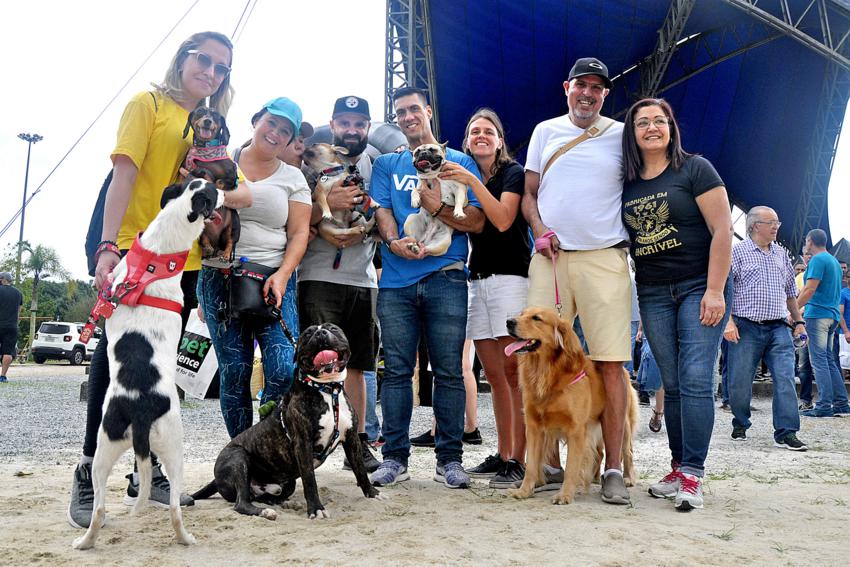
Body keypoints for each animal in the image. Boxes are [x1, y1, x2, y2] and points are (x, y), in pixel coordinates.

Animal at [72, 179, 222, 552]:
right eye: (214, 190)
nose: (229, 190)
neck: (155, 256)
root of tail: (139, 410)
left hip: (104, 451)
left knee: (98, 509)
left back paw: (85, 542)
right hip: (175, 448)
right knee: (175, 511)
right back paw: (186, 539)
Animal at [192, 324, 380, 520]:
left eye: (333, 329)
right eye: (307, 334)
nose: (320, 332)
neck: (328, 389)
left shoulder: (351, 439)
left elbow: (360, 470)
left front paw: (372, 494)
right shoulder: (303, 444)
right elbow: (310, 481)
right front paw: (316, 509)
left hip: (285, 482)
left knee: (265, 496)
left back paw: (282, 503)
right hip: (238, 458)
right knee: (241, 503)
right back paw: (264, 511)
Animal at [504, 306, 636, 506]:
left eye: (536, 318)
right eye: (521, 314)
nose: (509, 322)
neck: (547, 372)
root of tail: (626, 372)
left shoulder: (577, 430)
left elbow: (572, 466)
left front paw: (565, 495)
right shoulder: (534, 427)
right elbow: (532, 465)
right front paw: (524, 491)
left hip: (623, 424)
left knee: (626, 452)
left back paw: (626, 478)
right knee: (600, 453)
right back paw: (595, 478)